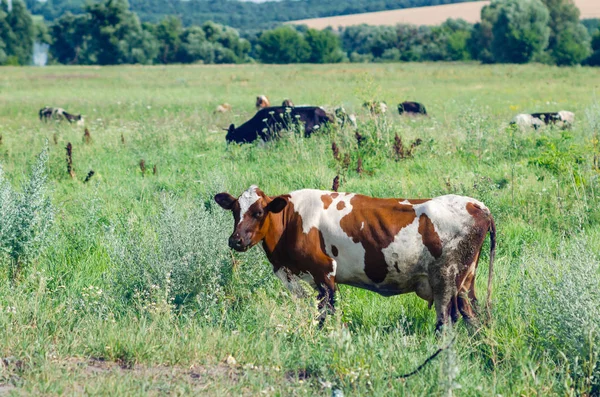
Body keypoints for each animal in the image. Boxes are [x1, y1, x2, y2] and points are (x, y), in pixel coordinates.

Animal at [216, 186, 496, 328]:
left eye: (259, 212)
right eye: (235, 210)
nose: (235, 240)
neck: (292, 219)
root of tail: (477, 205)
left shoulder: (324, 274)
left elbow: (326, 314)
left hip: (446, 281)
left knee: (446, 321)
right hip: (465, 284)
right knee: (473, 317)